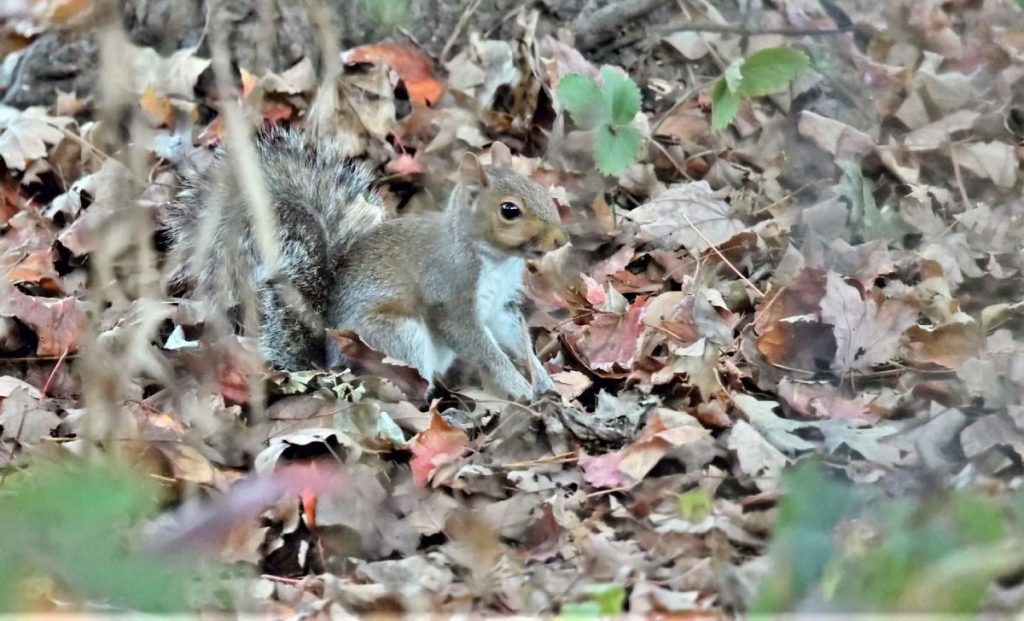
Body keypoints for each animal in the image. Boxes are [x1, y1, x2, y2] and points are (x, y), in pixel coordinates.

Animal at [163, 127, 573, 401]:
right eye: (509, 210)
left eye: (540, 188)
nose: (561, 239)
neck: (496, 260)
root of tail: (329, 364)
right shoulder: (451, 295)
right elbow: (483, 348)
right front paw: (518, 386)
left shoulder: (500, 305)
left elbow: (516, 337)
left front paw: (541, 377)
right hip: (395, 336)